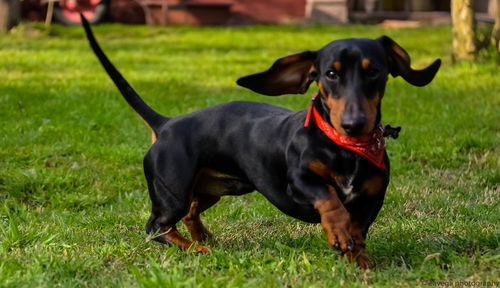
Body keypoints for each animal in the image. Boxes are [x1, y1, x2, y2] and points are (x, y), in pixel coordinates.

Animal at [80, 14, 440, 268]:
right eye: (331, 74)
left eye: (374, 71)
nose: (354, 124)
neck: (345, 148)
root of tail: (166, 124)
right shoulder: (299, 183)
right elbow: (330, 199)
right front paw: (338, 231)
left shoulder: (372, 198)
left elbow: (359, 232)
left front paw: (359, 261)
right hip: (172, 193)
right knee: (156, 226)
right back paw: (195, 248)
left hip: (217, 188)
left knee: (190, 213)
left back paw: (202, 238)